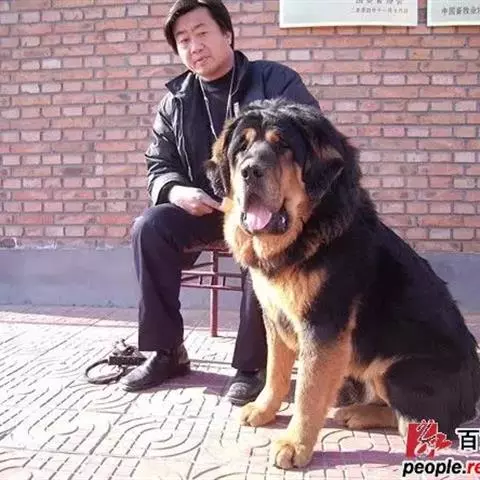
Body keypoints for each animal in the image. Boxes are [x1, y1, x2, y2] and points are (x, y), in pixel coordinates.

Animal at [205, 99, 480, 469]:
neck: (303, 235)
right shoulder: (275, 317)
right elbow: (276, 371)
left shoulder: (323, 327)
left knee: (421, 424)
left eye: (283, 146)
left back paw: (359, 414)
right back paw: (358, 410)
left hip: (400, 371)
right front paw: (264, 409)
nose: (250, 171)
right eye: (241, 148)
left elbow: (307, 392)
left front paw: (294, 444)